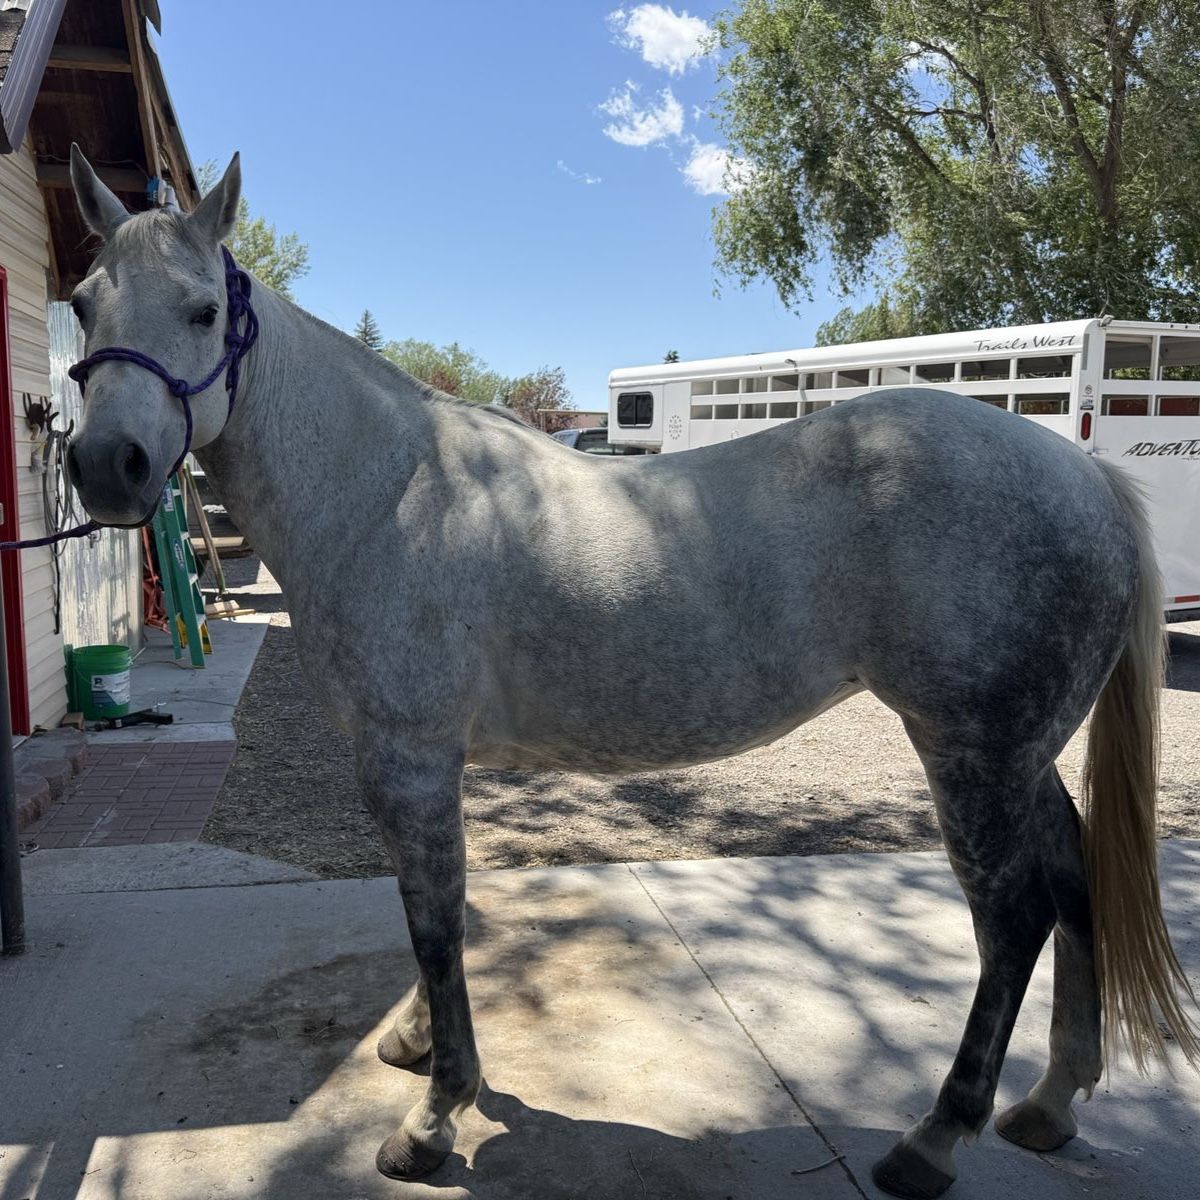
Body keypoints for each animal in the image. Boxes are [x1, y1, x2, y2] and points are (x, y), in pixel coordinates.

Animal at [63, 148, 1197, 1199]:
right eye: (83, 305)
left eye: (204, 309)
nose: (106, 467)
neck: (386, 491)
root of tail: (1084, 473)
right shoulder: (410, 767)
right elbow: (426, 910)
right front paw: (421, 1048)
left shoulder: (410, 760)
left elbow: (436, 922)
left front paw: (434, 1118)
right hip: (1020, 756)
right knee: (1072, 876)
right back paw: (1049, 1104)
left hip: (972, 756)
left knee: (1012, 921)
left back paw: (933, 1138)